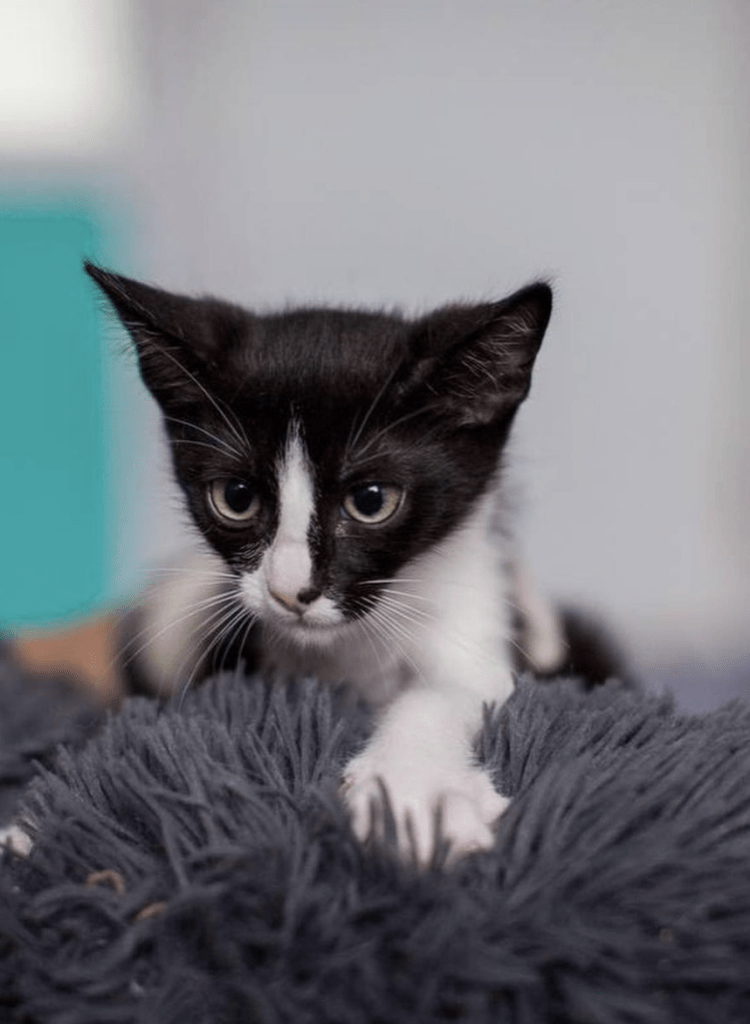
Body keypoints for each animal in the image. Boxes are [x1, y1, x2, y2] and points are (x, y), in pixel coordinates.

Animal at [88, 264, 590, 864]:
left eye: (371, 502)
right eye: (235, 498)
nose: (290, 591)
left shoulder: (482, 618)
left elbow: (455, 689)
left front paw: (411, 793)